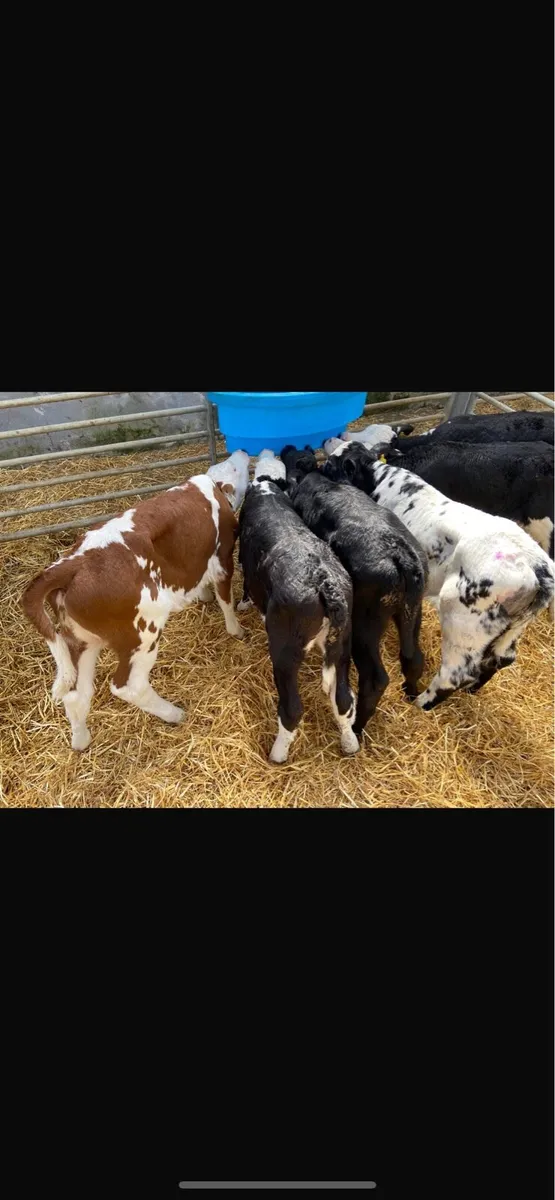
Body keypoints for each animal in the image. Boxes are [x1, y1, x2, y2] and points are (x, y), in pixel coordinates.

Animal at [21, 452, 251, 751]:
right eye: (236, 468)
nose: (243, 453)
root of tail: (71, 564)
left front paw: (203, 596)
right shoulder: (223, 556)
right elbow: (226, 599)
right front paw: (236, 629)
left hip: (81, 642)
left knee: (76, 696)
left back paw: (81, 741)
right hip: (142, 634)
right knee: (129, 686)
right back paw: (174, 714)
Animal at [238, 451, 359, 763]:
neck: (267, 489)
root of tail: (324, 581)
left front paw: (244, 604)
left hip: (285, 652)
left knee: (292, 709)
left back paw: (277, 754)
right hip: (343, 643)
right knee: (343, 700)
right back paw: (350, 742)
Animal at [280, 446, 428, 738]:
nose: (287, 447)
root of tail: (400, 554)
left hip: (364, 625)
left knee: (375, 678)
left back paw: (358, 727)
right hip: (412, 613)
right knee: (413, 658)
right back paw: (412, 693)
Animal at [322, 442, 554, 710]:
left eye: (331, 464)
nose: (320, 468)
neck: (375, 479)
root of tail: (537, 568)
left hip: (462, 619)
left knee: (454, 675)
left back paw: (422, 702)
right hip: (511, 629)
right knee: (502, 658)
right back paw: (472, 690)